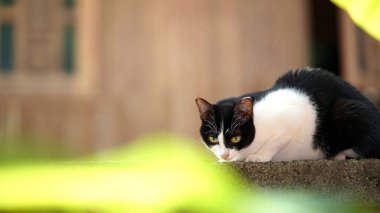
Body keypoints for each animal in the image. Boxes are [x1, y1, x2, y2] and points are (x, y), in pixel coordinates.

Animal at [194, 67, 380, 162]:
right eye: (212, 138)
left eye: (235, 138)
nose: (224, 155)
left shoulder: (293, 115)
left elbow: (277, 140)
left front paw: (259, 156)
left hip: (349, 110)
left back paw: (339, 155)